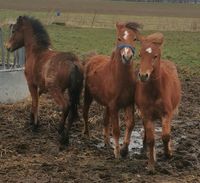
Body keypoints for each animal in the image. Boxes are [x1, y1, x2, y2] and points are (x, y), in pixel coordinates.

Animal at [4, 15, 83, 144]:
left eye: (14, 31)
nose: (7, 47)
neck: (37, 52)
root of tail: (73, 62)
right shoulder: (42, 86)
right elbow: (36, 98)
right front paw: (32, 118)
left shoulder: (31, 83)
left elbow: (35, 100)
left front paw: (35, 125)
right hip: (74, 91)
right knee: (72, 110)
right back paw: (65, 138)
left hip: (55, 90)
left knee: (66, 106)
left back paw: (60, 129)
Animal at [83, 21, 141, 159]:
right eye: (119, 38)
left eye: (135, 39)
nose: (127, 57)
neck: (120, 79)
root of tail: (92, 58)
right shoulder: (114, 106)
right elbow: (116, 129)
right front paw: (118, 153)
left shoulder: (128, 103)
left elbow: (131, 124)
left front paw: (124, 149)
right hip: (88, 95)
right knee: (85, 113)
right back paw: (87, 135)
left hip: (107, 105)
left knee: (105, 120)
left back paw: (107, 143)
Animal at [136, 32, 181, 172]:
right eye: (140, 55)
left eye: (155, 56)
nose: (143, 76)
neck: (154, 91)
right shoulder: (147, 115)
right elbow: (151, 140)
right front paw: (151, 165)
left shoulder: (166, 114)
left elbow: (166, 136)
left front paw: (168, 154)